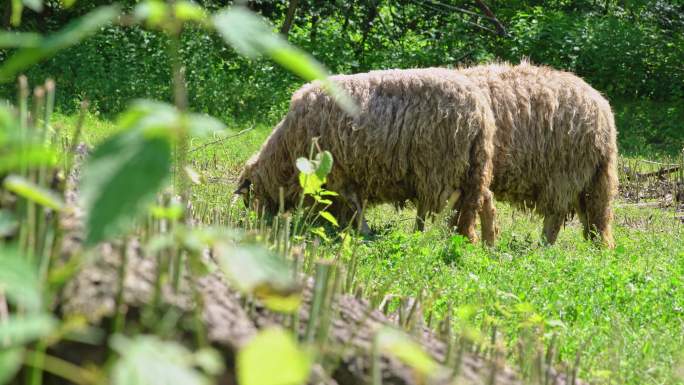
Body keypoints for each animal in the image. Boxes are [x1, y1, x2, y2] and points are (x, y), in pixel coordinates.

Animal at [235, 68, 496, 243]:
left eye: (249, 196)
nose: (257, 224)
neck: (287, 154)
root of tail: (480, 111)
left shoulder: (338, 171)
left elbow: (353, 203)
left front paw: (364, 232)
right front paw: (344, 227)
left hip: (440, 167)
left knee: (447, 206)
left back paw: (429, 237)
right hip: (470, 167)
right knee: (482, 201)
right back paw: (485, 244)